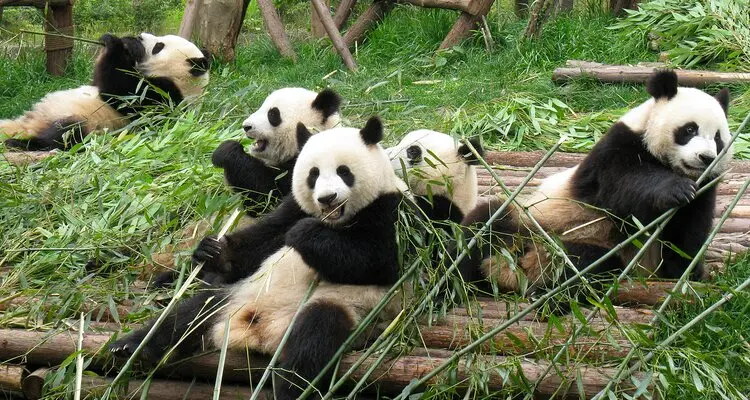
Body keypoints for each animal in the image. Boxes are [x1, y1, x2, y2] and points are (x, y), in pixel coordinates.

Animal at [1, 33, 210, 151]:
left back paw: (20, 143)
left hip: (85, 122)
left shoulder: (165, 99)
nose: (140, 36)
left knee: (64, 135)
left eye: (159, 47)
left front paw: (119, 44)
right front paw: (126, 41)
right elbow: (100, 80)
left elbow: (121, 93)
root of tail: (31, 124)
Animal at [109, 117, 406, 400]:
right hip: (236, 296)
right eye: (313, 174)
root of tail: (258, 334)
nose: (327, 198)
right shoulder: (293, 207)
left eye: (344, 172)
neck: (335, 221)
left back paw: (289, 390)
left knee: (313, 339)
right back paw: (130, 346)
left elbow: (376, 261)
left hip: (342, 306)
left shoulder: (391, 212)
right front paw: (213, 252)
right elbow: (263, 239)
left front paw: (305, 234)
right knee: (191, 313)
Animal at [457, 70, 732, 305]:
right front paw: (676, 189)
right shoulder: (614, 151)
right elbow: (625, 185)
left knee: (585, 265)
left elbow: (688, 233)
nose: (706, 158)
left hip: (598, 252)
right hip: (528, 218)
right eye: (689, 129)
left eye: (718, 138)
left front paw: (687, 271)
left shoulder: (706, 187)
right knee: (482, 228)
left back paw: (550, 295)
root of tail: (516, 269)